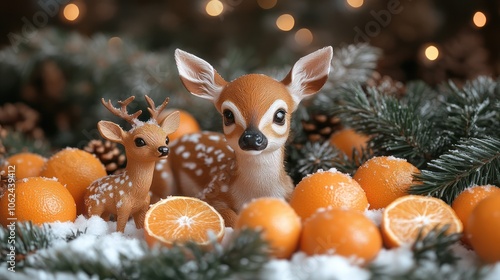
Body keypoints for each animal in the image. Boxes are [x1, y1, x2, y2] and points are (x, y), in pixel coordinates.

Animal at [85, 95, 180, 232]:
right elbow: (120, 228)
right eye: (139, 141)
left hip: (105, 210)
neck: (136, 192)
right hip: (94, 205)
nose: (164, 149)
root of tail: (87, 190)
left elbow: (140, 225)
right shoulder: (122, 206)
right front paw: (118, 236)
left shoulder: (143, 207)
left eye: (167, 138)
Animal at [152, 47, 332, 226]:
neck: (256, 193)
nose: (251, 138)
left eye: (280, 115)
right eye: (228, 115)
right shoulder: (209, 192)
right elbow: (229, 216)